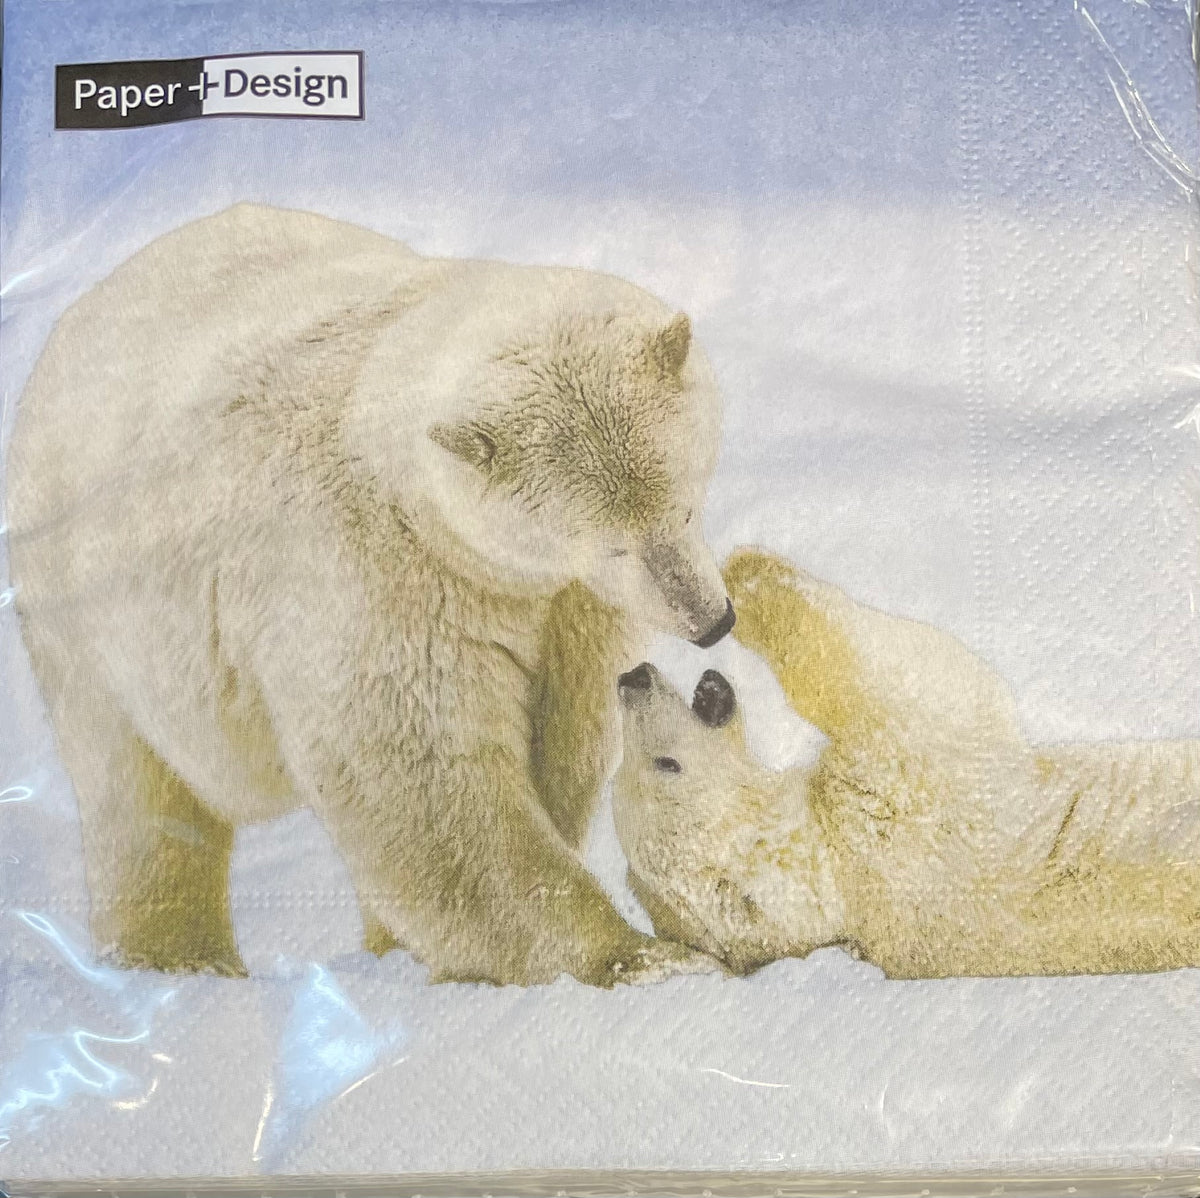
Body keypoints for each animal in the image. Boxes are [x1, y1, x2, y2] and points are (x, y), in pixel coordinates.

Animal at [6, 203, 737, 987]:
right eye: (611, 544)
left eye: (684, 507)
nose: (714, 621)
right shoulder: (376, 575)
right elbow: (427, 783)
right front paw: (644, 958)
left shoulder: (563, 605)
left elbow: (563, 732)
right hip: (89, 618)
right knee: (140, 797)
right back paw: (178, 958)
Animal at [612, 548, 1200, 979]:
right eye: (665, 764)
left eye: (630, 770)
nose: (631, 677)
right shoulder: (904, 813)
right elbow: (919, 678)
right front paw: (747, 569)